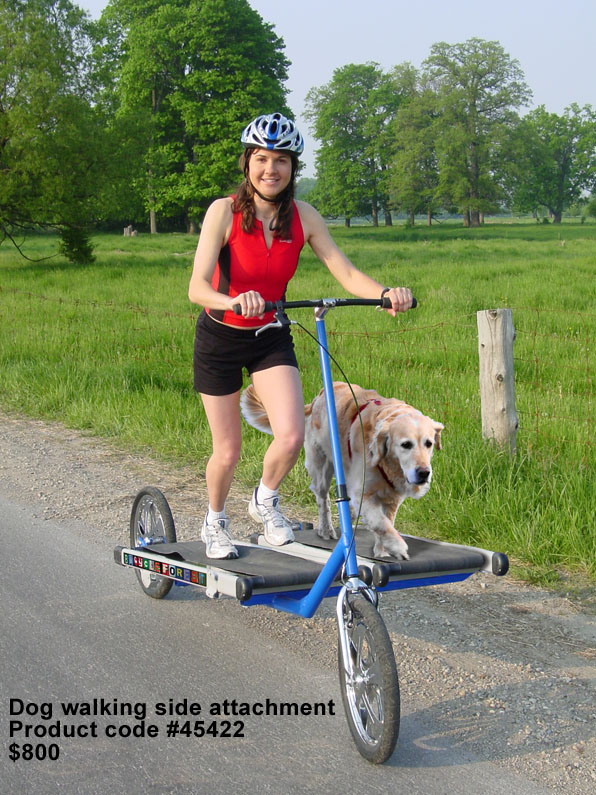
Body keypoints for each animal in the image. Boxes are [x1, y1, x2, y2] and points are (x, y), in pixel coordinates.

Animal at [241, 384, 442, 560]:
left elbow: (387, 522)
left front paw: (383, 550)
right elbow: (380, 522)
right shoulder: (363, 493)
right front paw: (397, 546)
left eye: (429, 443)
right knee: (323, 499)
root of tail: (319, 397)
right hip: (322, 466)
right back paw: (326, 529)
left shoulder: (392, 497)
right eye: (405, 444)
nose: (424, 473)